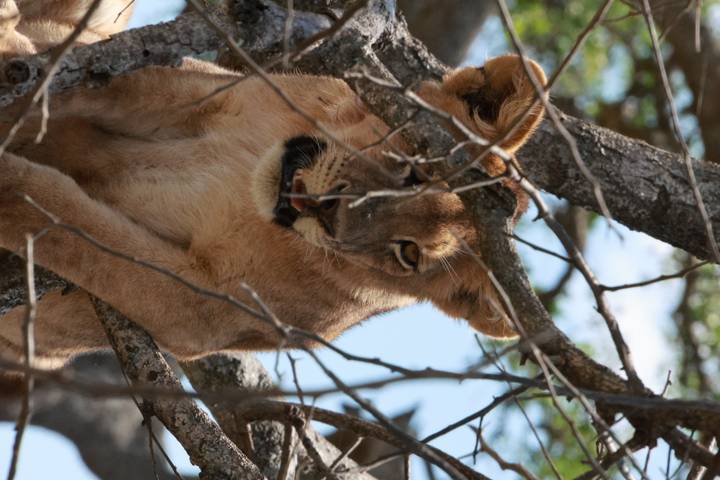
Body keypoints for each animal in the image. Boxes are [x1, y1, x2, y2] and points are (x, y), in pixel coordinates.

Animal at [0, 0, 546, 368]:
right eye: (417, 169)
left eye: (408, 255)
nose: (327, 211)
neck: (249, 189)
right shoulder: (193, 90)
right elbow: (75, 74)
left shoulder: (201, 308)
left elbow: (72, 231)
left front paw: (12, 185)